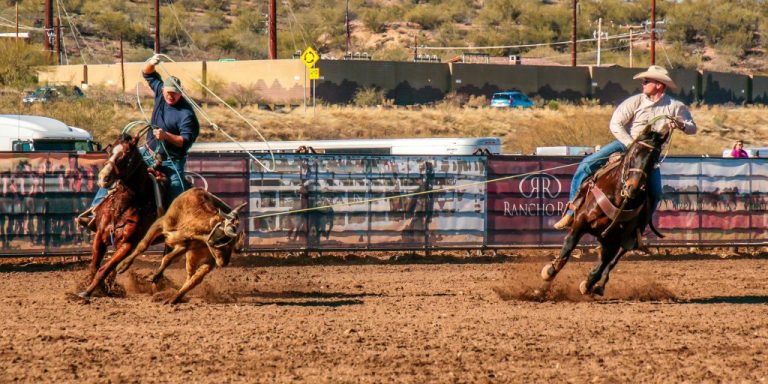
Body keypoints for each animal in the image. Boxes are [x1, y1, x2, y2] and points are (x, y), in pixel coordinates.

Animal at [77, 133, 161, 300]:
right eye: (110, 152)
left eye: (125, 156)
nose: (103, 177)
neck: (124, 206)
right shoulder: (100, 235)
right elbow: (94, 266)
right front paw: (99, 289)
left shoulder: (127, 244)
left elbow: (104, 269)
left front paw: (88, 292)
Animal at [116, 188, 246, 304]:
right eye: (221, 240)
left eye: (232, 245)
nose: (224, 263)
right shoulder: (161, 224)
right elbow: (144, 246)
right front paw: (122, 266)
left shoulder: (185, 245)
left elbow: (167, 258)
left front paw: (155, 276)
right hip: (194, 256)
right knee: (191, 276)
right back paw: (173, 296)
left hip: (203, 258)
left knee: (194, 279)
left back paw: (174, 298)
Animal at [544, 121, 676, 296]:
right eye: (634, 153)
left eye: (654, 159)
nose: (633, 188)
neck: (619, 198)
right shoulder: (580, 221)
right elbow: (568, 245)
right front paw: (549, 272)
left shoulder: (617, 239)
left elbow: (604, 263)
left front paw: (588, 284)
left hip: (627, 240)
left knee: (612, 261)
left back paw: (599, 286)